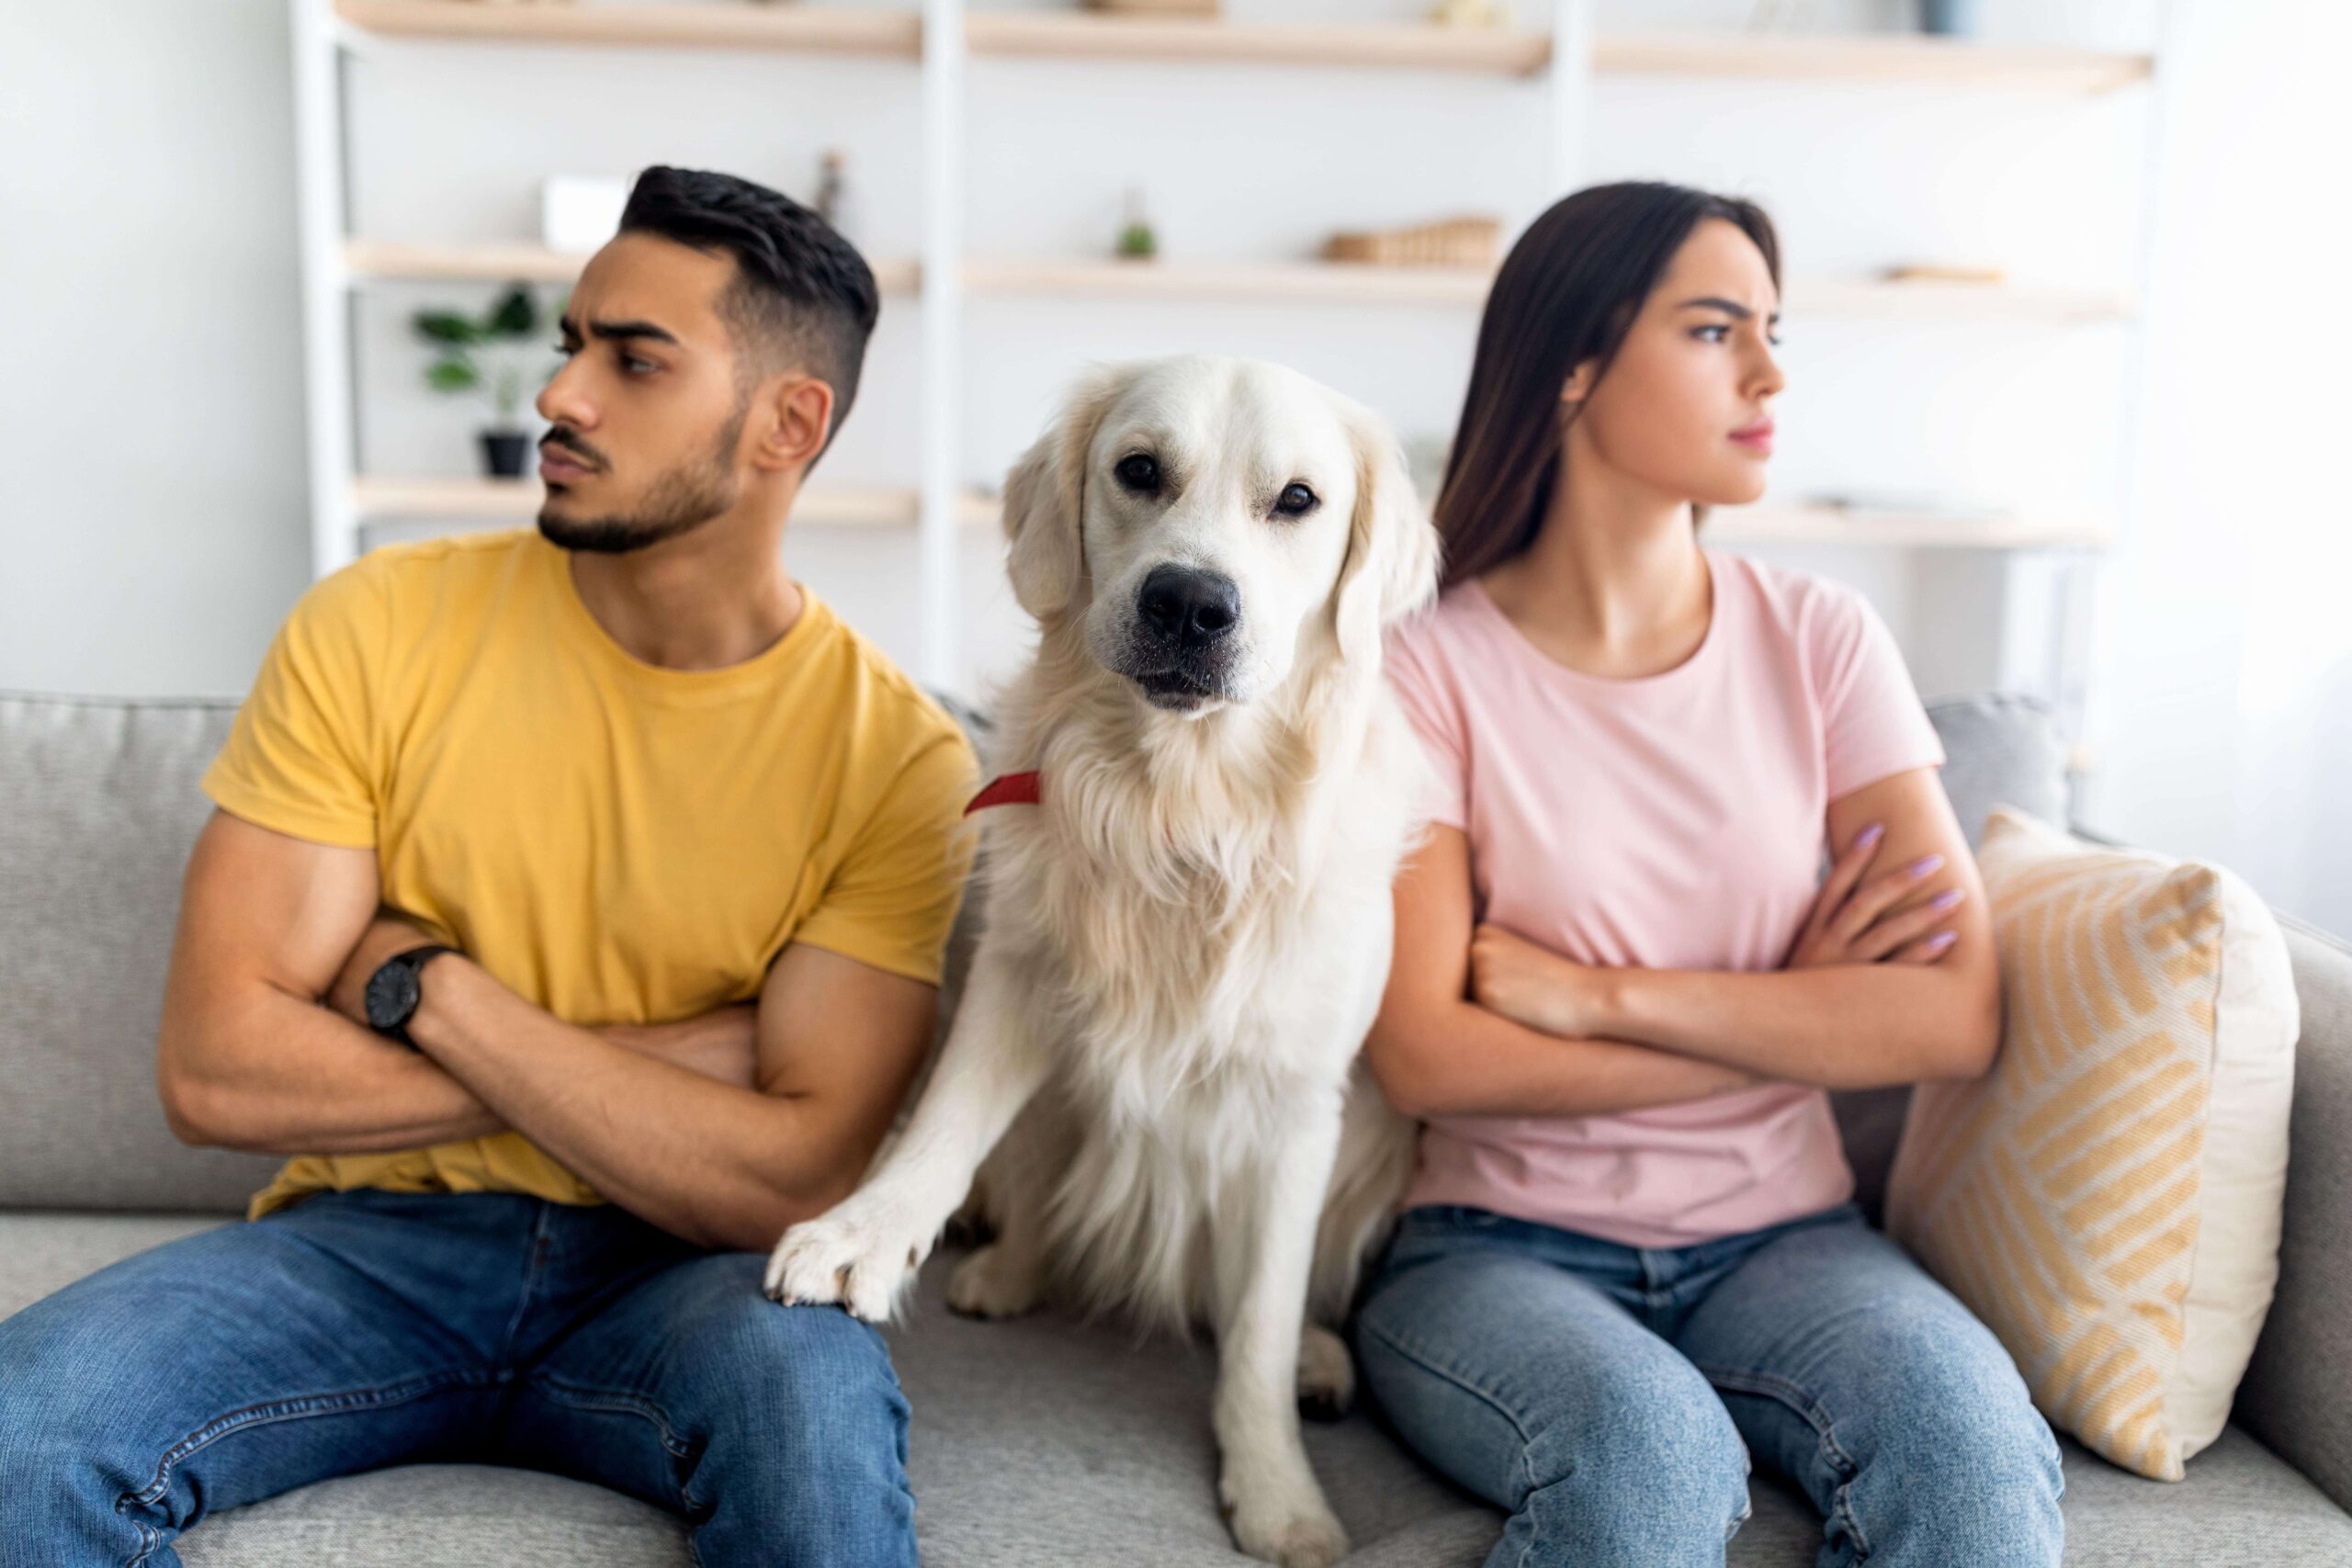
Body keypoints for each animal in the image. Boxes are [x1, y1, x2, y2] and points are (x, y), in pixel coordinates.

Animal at [771, 355, 1430, 1568]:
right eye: (1138, 471)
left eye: (1298, 500)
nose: (1188, 603)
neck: (1183, 809)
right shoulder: (1015, 978)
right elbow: (942, 1131)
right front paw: (862, 1236)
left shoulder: (1297, 1103)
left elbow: (1259, 1322)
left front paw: (1278, 1495)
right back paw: (1007, 1269)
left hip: (1372, 1142)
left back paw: (1318, 1362)